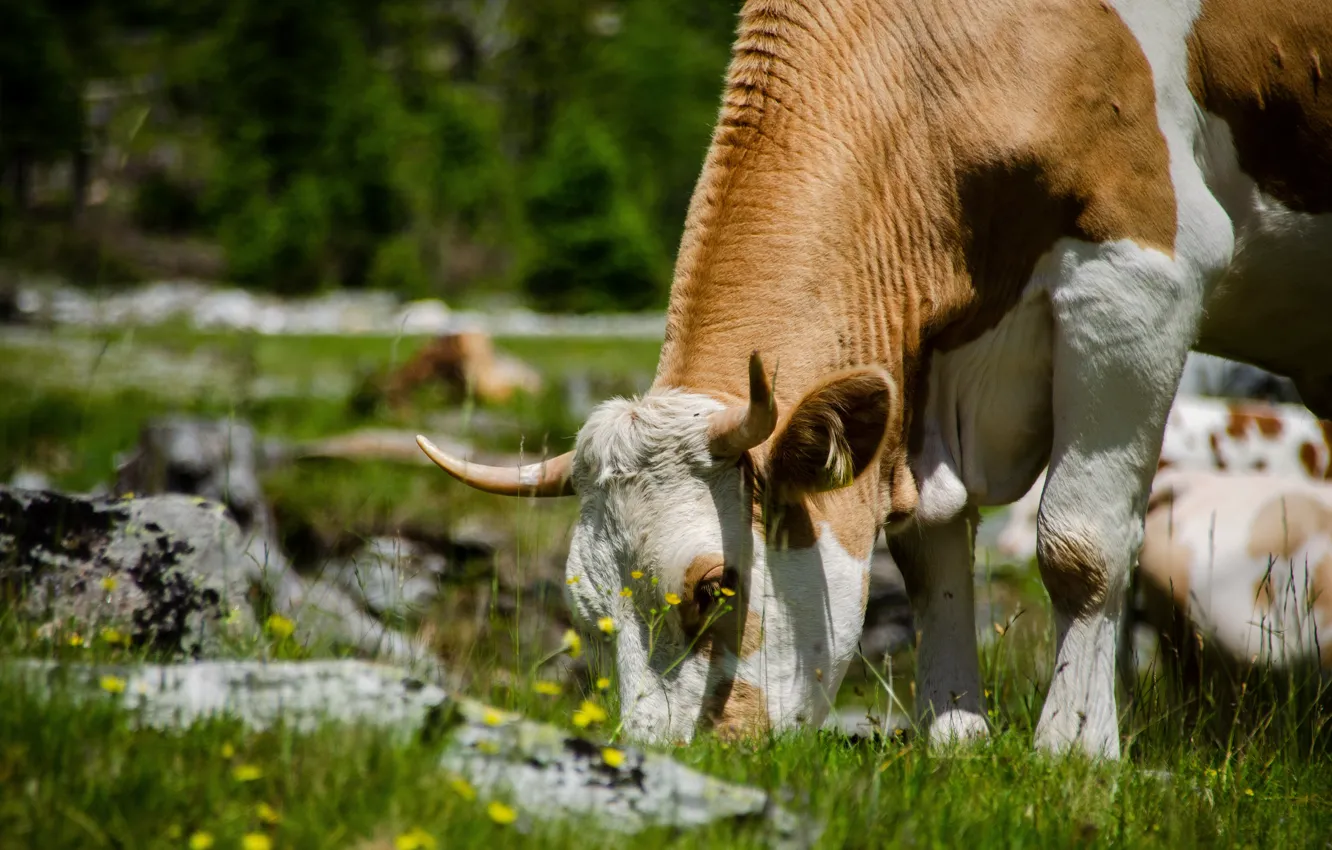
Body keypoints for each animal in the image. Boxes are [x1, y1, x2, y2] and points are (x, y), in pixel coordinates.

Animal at [416, 0, 1332, 758]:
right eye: (587, 615)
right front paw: (955, 734)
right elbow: (928, 546)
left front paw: (1074, 749)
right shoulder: (919, 365)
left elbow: (1081, 546)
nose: (662, 754)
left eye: (715, 587)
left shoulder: (1140, 275)